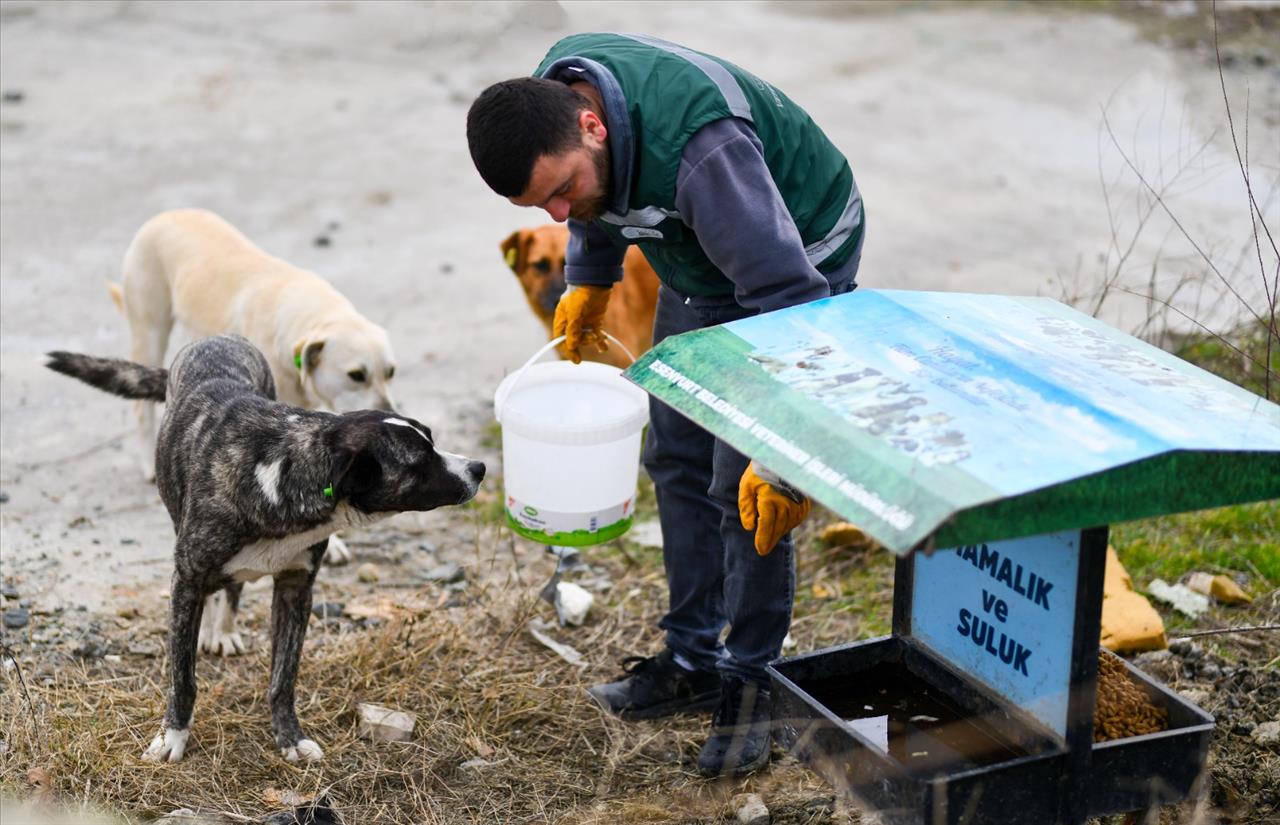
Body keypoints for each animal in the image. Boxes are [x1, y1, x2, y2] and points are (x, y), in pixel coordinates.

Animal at [46, 332, 483, 757]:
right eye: (419, 461)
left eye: (431, 439)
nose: (478, 468)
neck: (282, 470)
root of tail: (217, 338)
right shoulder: (186, 579)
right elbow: (182, 678)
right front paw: (173, 737)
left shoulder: (296, 587)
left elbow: (283, 677)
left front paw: (289, 737)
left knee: (232, 588)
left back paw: (223, 629)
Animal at [108, 209, 396, 562]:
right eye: (356, 375)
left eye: (390, 372)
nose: (389, 411)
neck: (308, 318)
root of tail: (168, 214)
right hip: (149, 330)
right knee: (140, 406)